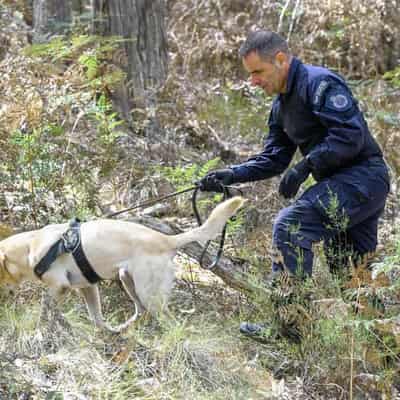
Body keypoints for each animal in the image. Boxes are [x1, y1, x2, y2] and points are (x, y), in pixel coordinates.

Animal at [0, 196, 244, 332]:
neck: (29, 247)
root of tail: (167, 240)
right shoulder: (88, 287)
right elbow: (96, 318)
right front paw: (103, 333)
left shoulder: (60, 286)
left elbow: (46, 306)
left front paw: (40, 326)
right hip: (128, 281)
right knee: (140, 311)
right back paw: (123, 329)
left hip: (149, 292)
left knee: (169, 321)